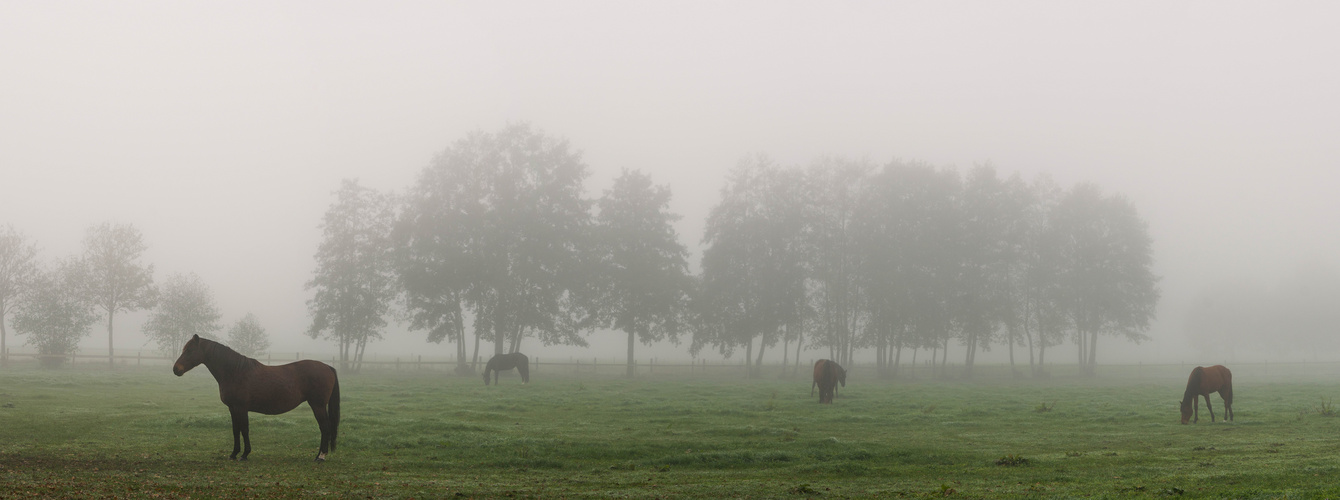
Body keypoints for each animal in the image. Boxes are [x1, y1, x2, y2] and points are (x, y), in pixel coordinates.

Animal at [171, 335, 340, 458]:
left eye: (190, 350)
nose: (175, 369)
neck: (235, 372)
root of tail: (328, 367)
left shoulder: (241, 407)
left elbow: (244, 429)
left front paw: (245, 454)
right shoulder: (232, 408)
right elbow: (236, 429)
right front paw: (234, 454)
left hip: (318, 405)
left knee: (325, 427)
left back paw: (321, 456)